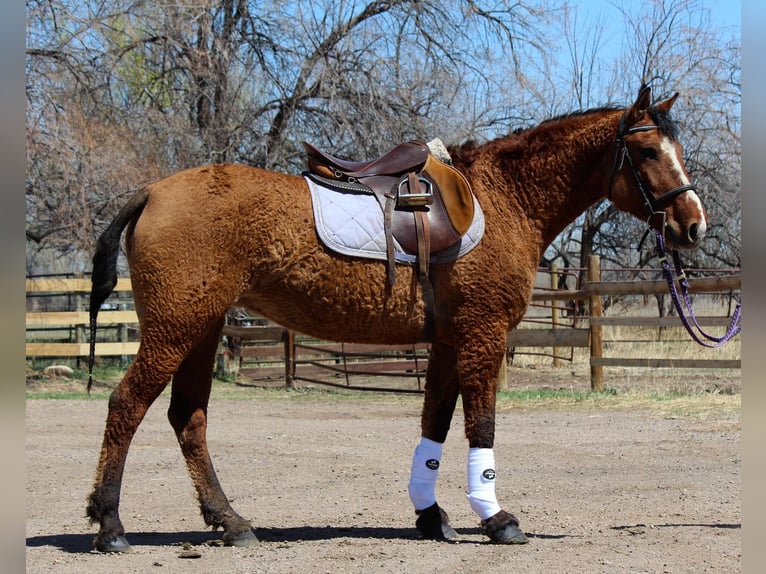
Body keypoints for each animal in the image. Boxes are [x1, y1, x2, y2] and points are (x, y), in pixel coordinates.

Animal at [85, 85, 707, 552]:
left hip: (202, 328)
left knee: (187, 418)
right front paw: (496, 516)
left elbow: (434, 425)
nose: (693, 224)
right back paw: (110, 524)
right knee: (127, 405)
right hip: (176, 328)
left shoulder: (450, 342)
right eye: (648, 153)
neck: (504, 198)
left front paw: (431, 516)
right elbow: (481, 425)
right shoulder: (481, 335)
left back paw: (230, 522)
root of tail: (150, 192)